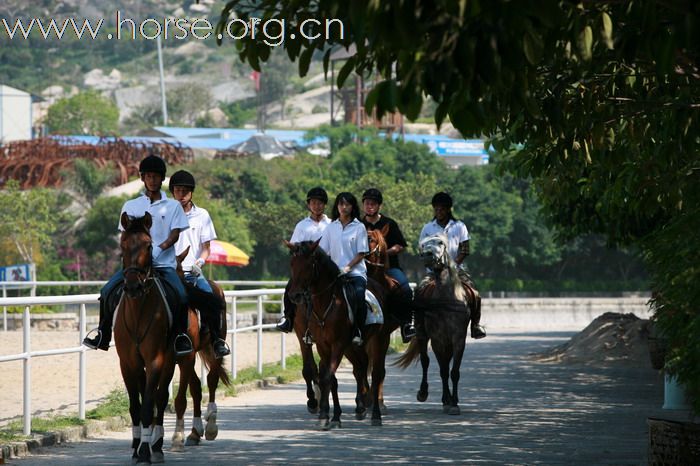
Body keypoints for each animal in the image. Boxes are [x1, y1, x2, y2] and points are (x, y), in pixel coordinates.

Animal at [113, 213, 176, 464]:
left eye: (149, 246)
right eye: (122, 245)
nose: (133, 286)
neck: (138, 311)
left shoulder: (155, 360)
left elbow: (149, 405)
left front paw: (145, 451)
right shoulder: (128, 363)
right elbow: (135, 406)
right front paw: (136, 446)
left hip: (171, 361)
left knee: (161, 397)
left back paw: (156, 445)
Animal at [172, 249, 232, 450]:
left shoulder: (187, 356)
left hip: (214, 346)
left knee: (212, 380)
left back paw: (211, 424)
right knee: (197, 387)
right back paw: (195, 432)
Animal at [286, 240, 394, 430]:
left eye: (309, 265)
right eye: (292, 263)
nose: (295, 295)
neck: (326, 304)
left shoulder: (337, 344)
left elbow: (328, 376)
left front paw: (325, 415)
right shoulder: (321, 344)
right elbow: (328, 378)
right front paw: (331, 415)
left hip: (380, 340)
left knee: (377, 374)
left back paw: (375, 414)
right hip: (352, 346)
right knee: (360, 367)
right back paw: (361, 407)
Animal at [396, 233, 474, 416]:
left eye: (440, 243)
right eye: (424, 244)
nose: (427, 255)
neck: (447, 299)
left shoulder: (458, 339)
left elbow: (454, 371)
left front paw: (454, 403)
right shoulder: (438, 339)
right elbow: (443, 370)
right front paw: (447, 402)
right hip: (423, 335)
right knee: (426, 361)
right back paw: (424, 393)